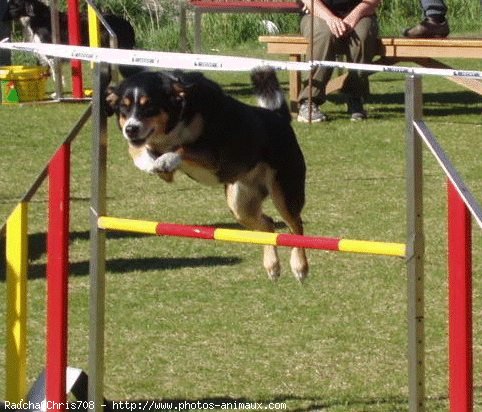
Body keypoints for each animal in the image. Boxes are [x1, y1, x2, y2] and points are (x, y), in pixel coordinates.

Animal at [106, 67, 308, 282]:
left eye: (149, 106)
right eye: (123, 108)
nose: (131, 129)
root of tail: (278, 117)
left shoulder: (213, 154)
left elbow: (183, 148)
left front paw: (167, 159)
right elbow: (136, 149)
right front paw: (147, 161)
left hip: (284, 193)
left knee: (296, 225)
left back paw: (300, 266)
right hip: (240, 203)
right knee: (268, 225)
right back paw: (272, 265)